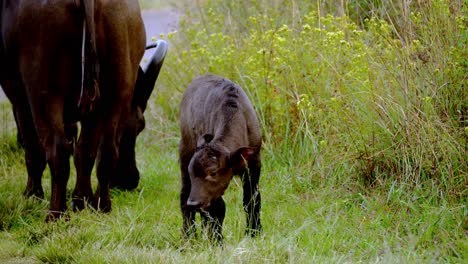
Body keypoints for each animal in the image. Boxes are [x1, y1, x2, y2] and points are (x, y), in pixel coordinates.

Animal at [0, 0, 166, 220]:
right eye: (141, 125)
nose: (128, 180)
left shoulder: (19, 98)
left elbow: (33, 150)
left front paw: (32, 196)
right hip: (114, 90)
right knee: (98, 151)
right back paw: (94, 203)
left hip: (43, 93)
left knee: (57, 150)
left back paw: (56, 214)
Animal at [178, 73, 262, 242]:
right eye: (192, 173)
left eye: (213, 173)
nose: (194, 203)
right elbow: (218, 209)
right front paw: (217, 241)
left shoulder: (254, 164)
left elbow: (252, 199)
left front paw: (254, 232)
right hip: (185, 152)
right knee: (184, 195)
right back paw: (189, 236)